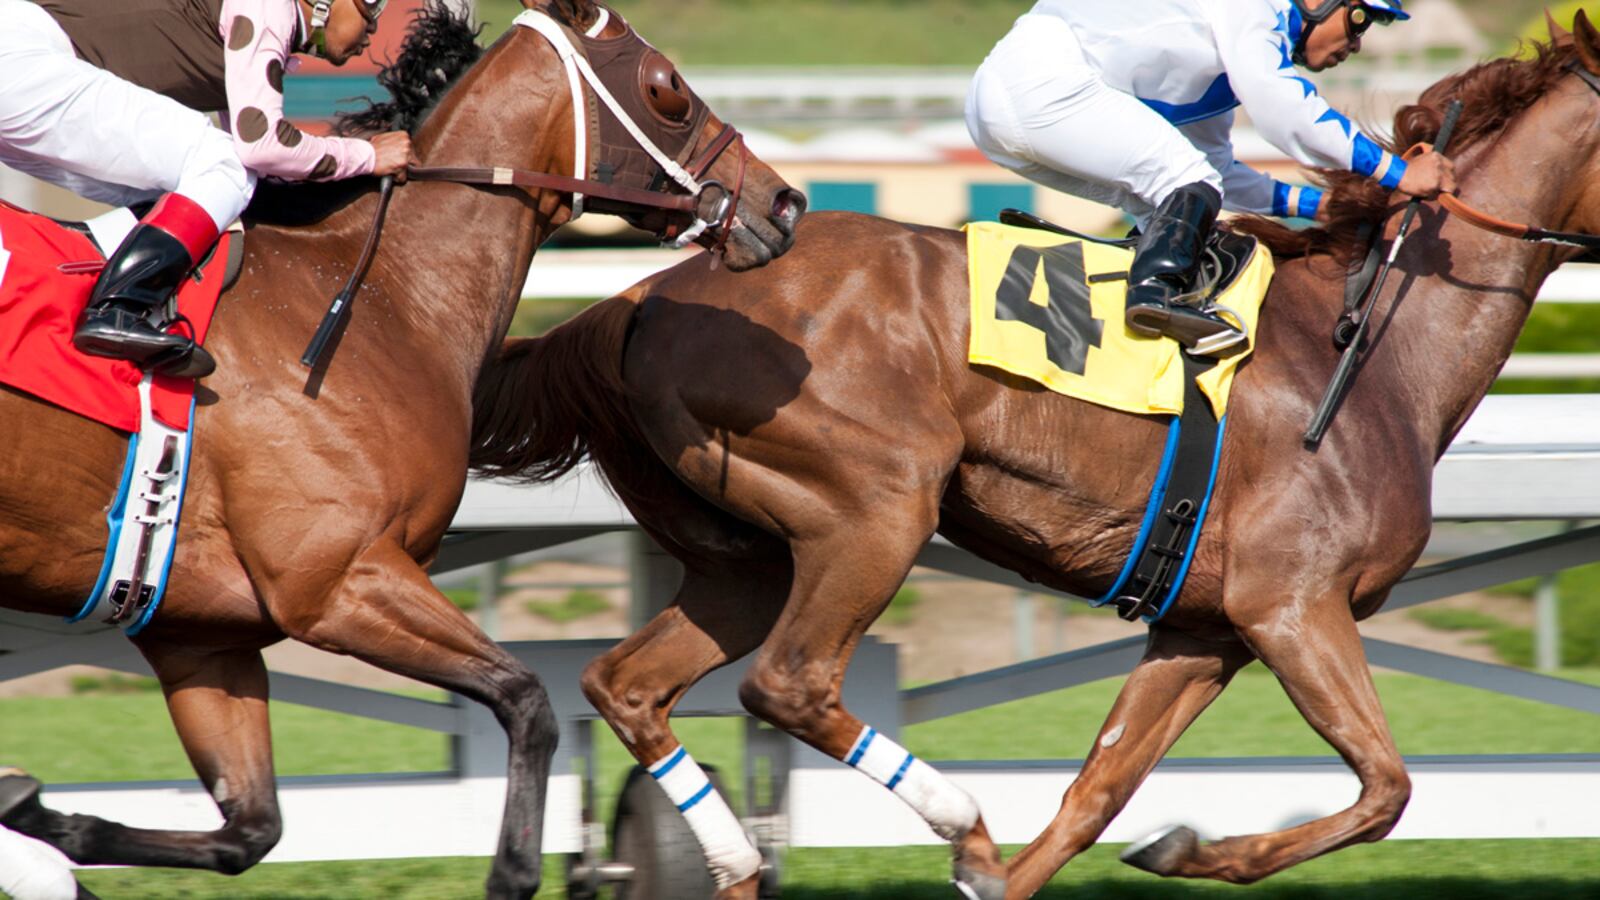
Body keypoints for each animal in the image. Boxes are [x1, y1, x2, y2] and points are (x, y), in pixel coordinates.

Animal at [0, 1, 801, 896]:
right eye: (667, 89)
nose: (784, 202)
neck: (385, 295)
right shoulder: (340, 580)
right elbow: (527, 699)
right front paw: (513, 871)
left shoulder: (201, 634)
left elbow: (248, 830)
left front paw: (47, 817)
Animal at [465, 14, 1600, 899]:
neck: (1374, 352)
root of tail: (637, 297)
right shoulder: (1293, 607)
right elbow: (1387, 787)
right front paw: (1178, 849)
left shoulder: (1204, 631)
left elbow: (1099, 792)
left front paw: (1159, 847)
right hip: (876, 509)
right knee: (788, 685)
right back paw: (958, 825)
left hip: (742, 558)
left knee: (626, 684)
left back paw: (741, 863)